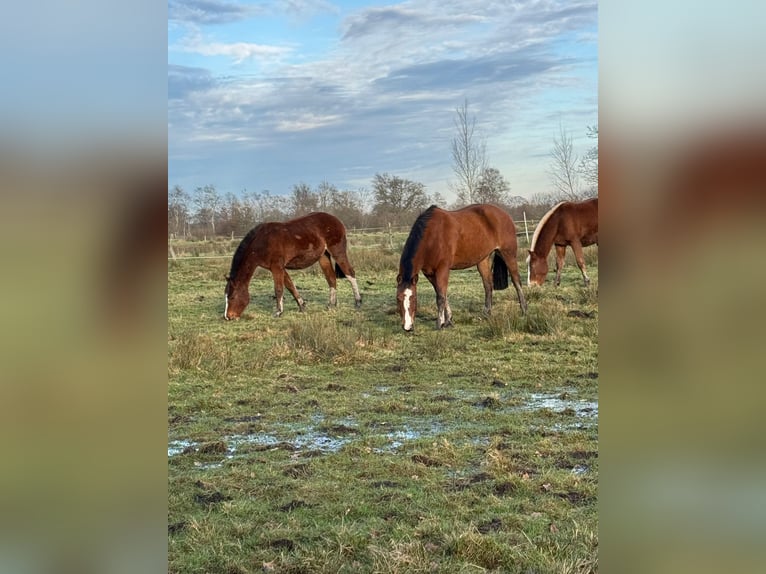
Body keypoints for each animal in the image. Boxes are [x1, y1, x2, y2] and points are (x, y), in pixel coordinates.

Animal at [225, 213, 364, 322]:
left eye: (232, 297)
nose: (228, 317)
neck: (262, 242)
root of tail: (337, 220)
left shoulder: (277, 267)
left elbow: (279, 289)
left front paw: (278, 312)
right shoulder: (280, 268)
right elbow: (290, 286)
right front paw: (302, 306)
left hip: (337, 252)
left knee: (350, 273)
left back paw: (358, 302)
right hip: (323, 257)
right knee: (331, 278)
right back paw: (331, 304)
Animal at [396, 206, 528, 332]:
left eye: (414, 298)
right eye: (398, 299)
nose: (407, 327)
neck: (431, 236)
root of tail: (504, 214)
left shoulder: (443, 269)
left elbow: (441, 297)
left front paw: (440, 324)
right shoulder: (429, 273)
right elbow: (441, 293)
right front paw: (448, 321)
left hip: (508, 254)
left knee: (516, 281)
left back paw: (524, 310)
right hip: (483, 260)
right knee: (488, 285)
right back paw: (486, 313)